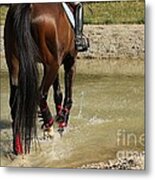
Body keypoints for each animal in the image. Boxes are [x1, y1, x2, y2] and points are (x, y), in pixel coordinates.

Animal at [3, 2, 77, 155]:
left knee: (14, 103)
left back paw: (18, 148)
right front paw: (62, 121)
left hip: (14, 64)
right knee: (40, 94)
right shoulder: (69, 60)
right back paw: (49, 125)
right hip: (52, 64)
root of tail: (28, 6)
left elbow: (58, 93)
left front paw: (60, 117)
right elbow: (67, 93)